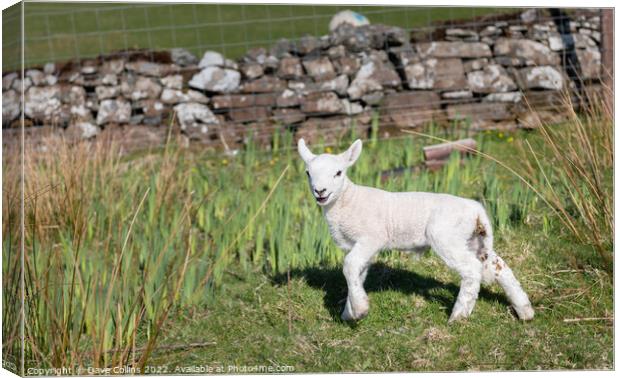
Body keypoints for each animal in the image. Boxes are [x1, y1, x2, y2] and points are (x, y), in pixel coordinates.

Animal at [298, 138, 536, 322]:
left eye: (338, 173)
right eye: (308, 173)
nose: (320, 191)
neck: (347, 201)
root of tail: (476, 208)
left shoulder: (372, 238)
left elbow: (348, 267)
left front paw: (359, 309)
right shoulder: (358, 246)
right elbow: (357, 272)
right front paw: (350, 312)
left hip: (445, 236)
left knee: (472, 270)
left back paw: (458, 316)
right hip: (473, 238)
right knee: (499, 267)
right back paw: (525, 311)